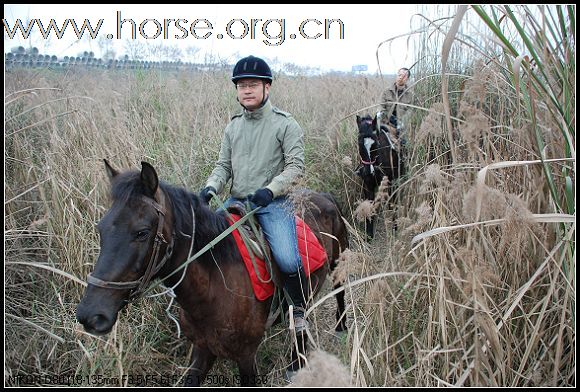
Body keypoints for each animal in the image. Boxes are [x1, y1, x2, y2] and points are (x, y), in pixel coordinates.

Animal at [77, 162, 348, 386]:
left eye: (142, 232)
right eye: (101, 228)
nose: (91, 315)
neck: (212, 289)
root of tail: (323, 196)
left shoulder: (246, 356)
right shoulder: (202, 349)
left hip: (339, 262)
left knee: (335, 296)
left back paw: (340, 329)